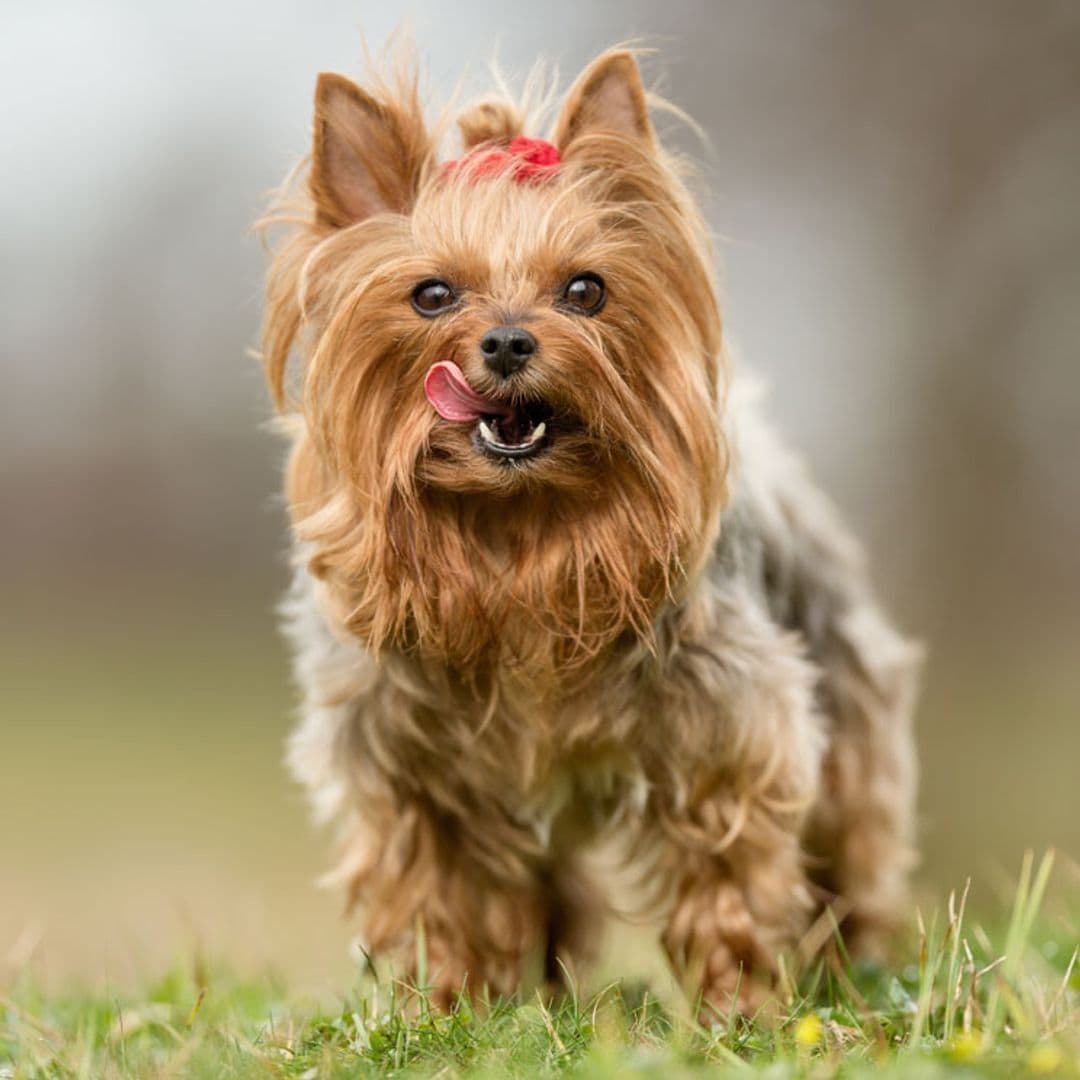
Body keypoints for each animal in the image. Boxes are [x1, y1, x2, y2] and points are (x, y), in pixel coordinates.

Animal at [259, 46, 920, 1015]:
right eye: (431, 294)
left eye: (585, 288)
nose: (505, 342)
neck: (519, 526)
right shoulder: (409, 766)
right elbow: (435, 889)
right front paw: (440, 1005)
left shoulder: (725, 730)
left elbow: (729, 870)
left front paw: (737, 1005)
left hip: (846, 699)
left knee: (850, 848)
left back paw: (852, 965)